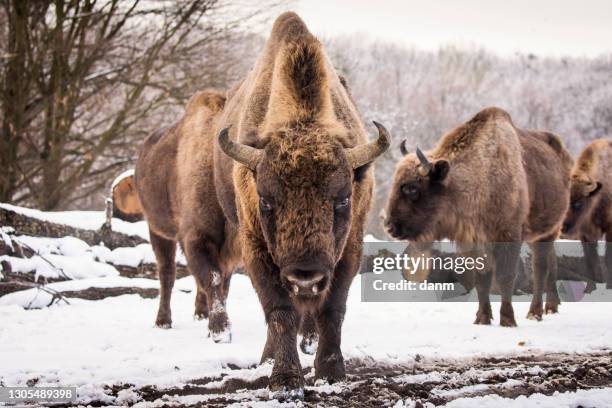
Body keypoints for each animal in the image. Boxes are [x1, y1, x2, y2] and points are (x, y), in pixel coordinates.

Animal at [137, 11, 388, 396]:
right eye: (267, 201)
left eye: (343, 199)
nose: (305, 275)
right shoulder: (247, 246)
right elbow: (277, 309)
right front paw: (283, 379)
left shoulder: (348, 249)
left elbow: (331, 309)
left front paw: (331, 373)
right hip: (162, 232)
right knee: (170, 275)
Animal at [384, 107, 572, 326]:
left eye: (412, 188)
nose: (390, 226)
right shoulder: (475, 242)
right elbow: (482, 280)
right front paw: (482, 318)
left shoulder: (509, 236)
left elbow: (505, 276)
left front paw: (507, 320)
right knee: (551, 263)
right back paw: (551, 306)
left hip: (549, 231)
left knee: (540, 268)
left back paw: (535, 312)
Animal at [560, 139, 612, 290]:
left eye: (579, 203)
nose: (563, 227)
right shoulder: (586, 235)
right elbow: (590, 261)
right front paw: (590, 288)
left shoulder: (610, 229)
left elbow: (608, 258)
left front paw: (609, 286)